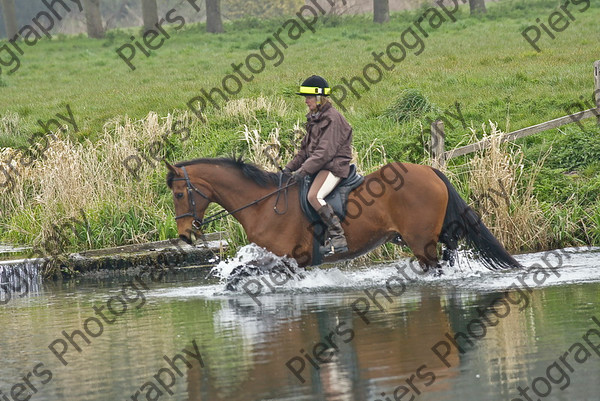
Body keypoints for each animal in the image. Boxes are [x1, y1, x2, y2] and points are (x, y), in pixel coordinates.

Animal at [164, 156, 520, 272]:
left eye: (180, 194)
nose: (185, 235)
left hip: (421, 243)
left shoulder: (283, 258)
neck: (263, 204)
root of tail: (430, 171)